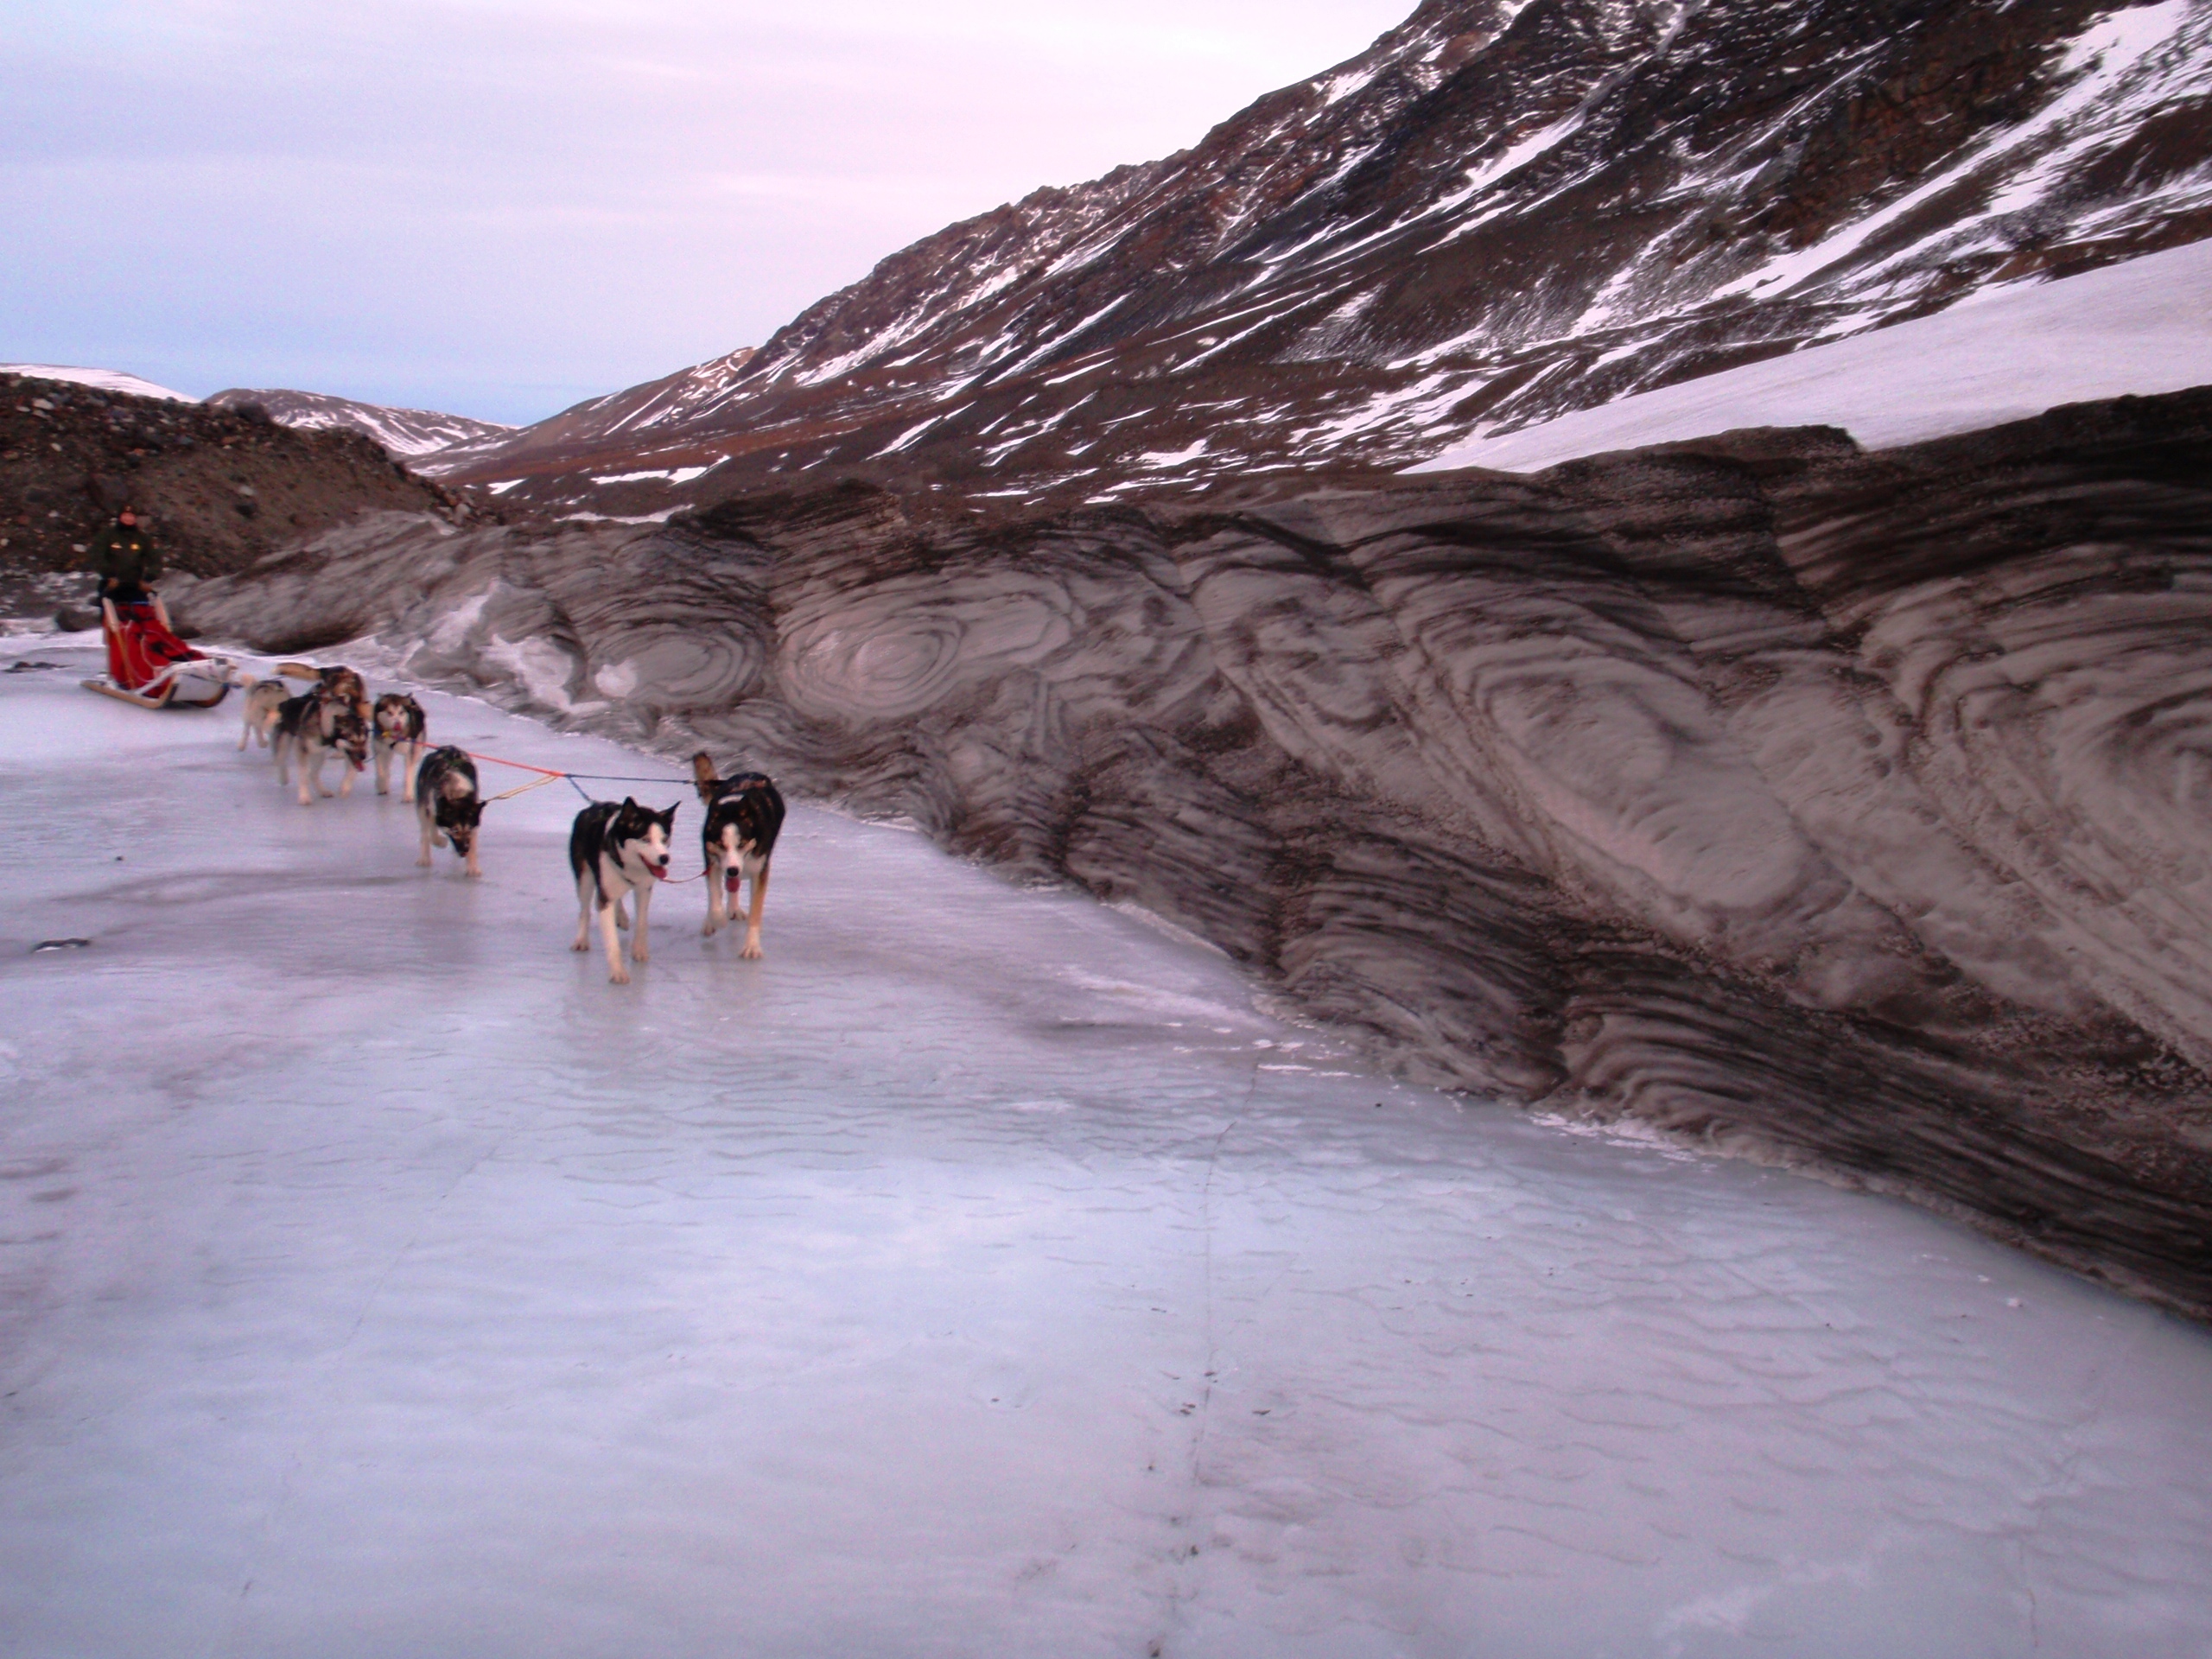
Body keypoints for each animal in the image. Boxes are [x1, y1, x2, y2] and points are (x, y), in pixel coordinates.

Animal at [271, 690, 366, 809]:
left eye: (363, 741)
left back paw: (323, 791)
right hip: (285, 743)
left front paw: (345, 787)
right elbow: (303, 776)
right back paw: (283, 777)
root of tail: (283, 704)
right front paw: (304, 797)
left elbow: (351, 770)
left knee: (313, 774)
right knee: (281, 759)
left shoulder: (345, 752)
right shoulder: (302, 748)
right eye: (352, 741)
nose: (364, 756)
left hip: (320, 754)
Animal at [366, 694, 422, 804]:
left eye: (401, 712)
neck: (393, 736)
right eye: (389, 712)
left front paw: (408, 796)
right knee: (386, 767)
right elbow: (381, 771)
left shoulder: (409, 751)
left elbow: (408, 774)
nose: (398, 725)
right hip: (388, 752)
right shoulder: (379, 748)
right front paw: (381, 785)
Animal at [416, 743, 486, 875]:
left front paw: (473, 867)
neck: (456, 792)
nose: (464, 852)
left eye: (469, 830)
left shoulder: (474, 821)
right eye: (455, 830)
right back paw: (424, 857)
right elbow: (432, 834)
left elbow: (473, 844)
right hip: (422, 807)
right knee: (425, 832)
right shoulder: (433, 810)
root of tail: (448, 747)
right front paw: (440, 842)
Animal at [570, 800, 672, 982]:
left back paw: (622, 917)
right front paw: (618, 972)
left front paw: (639, 950)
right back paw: (581, 939)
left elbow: (641, 922)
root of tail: (592, 806)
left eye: (664, 839)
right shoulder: (605, 896)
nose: (664, 858)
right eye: (646, 839)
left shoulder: (644, 889)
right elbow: (612, 940)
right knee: (585, 909)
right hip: (585, 878)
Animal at [698, 752, 796, 960]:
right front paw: (716, 919)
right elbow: (714, 895)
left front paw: (751, 946)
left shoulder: (760, 869)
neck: (733, 809)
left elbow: (756, 910)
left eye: (741, 844)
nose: (733, 870)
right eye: (721, 845)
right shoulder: (712, 858)